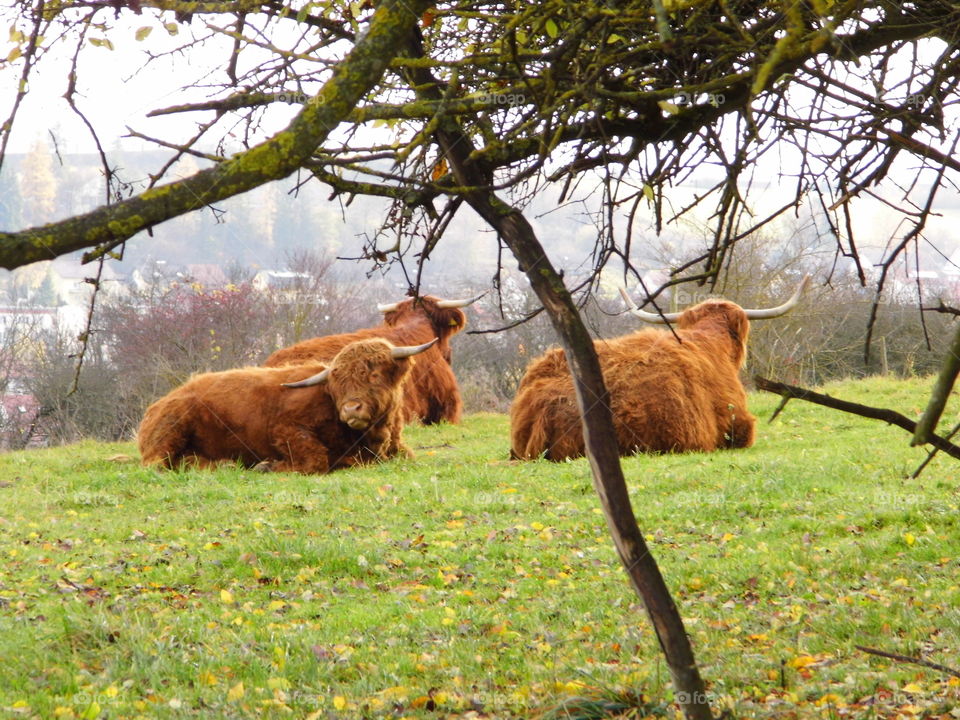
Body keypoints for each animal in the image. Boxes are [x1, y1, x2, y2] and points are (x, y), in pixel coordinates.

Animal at [138, 338, 437, 474]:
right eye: (337, 385)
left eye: (373, 374)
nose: (351, 409)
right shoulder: (286, 428)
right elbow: (316, 459)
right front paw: (269, 466)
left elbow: (409, 455)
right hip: (171, 430)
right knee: (157, 464)